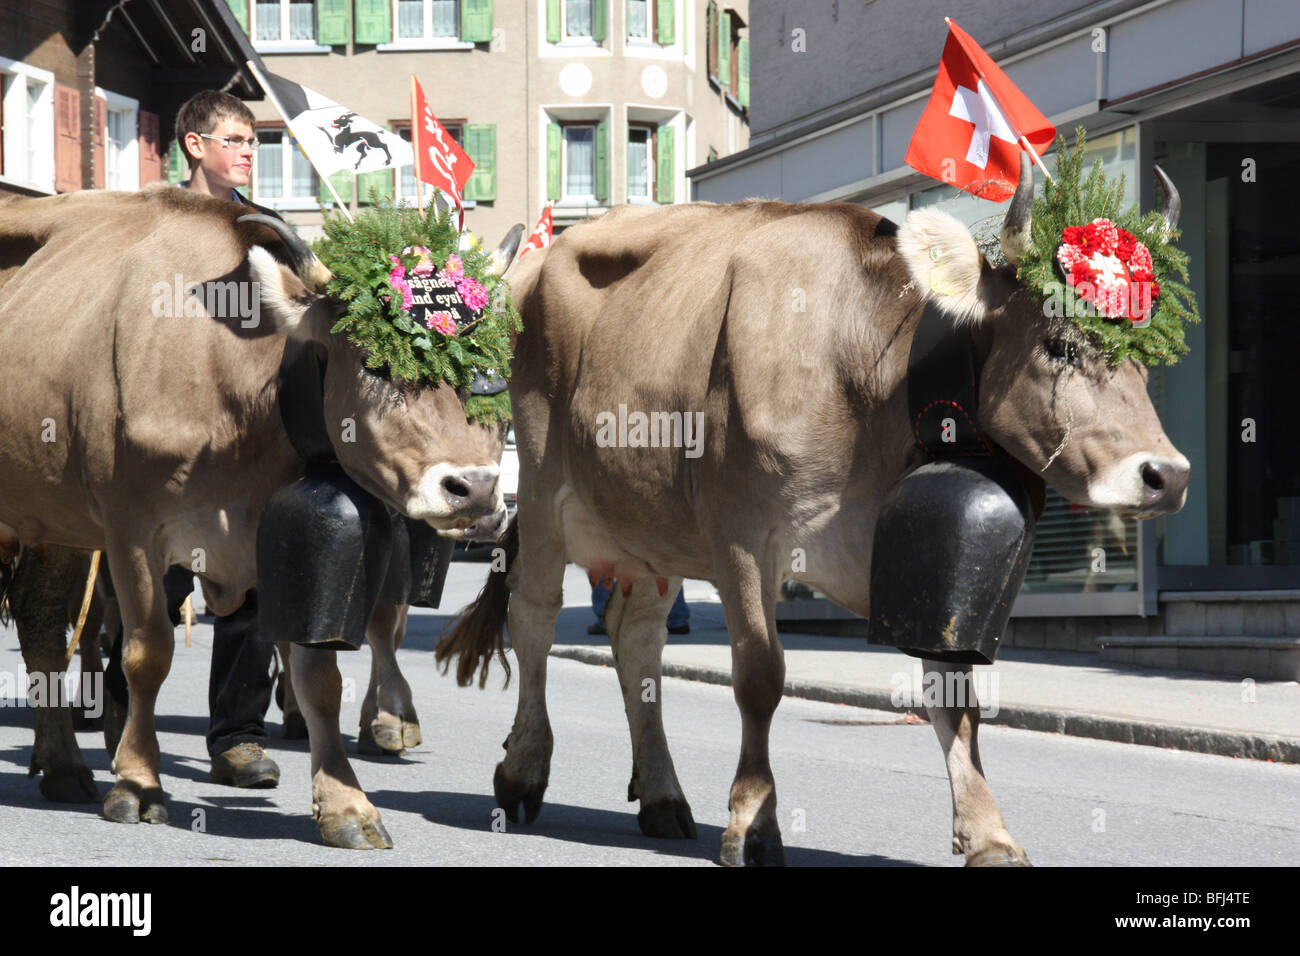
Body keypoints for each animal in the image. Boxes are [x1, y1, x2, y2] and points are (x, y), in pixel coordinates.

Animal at [439, 158, 1190, 868]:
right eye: (1059, 344)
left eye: (1146, 355)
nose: (1169, 475)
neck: (867, 385)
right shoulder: (745, 539)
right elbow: (760, 676)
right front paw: (753, 823)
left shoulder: (925, 563)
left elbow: (954, 694)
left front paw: (989, 835)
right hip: (544, 492)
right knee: (533, 618)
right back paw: (523, 770)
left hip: (653, 525)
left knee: (637, 639)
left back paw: (661, 795)